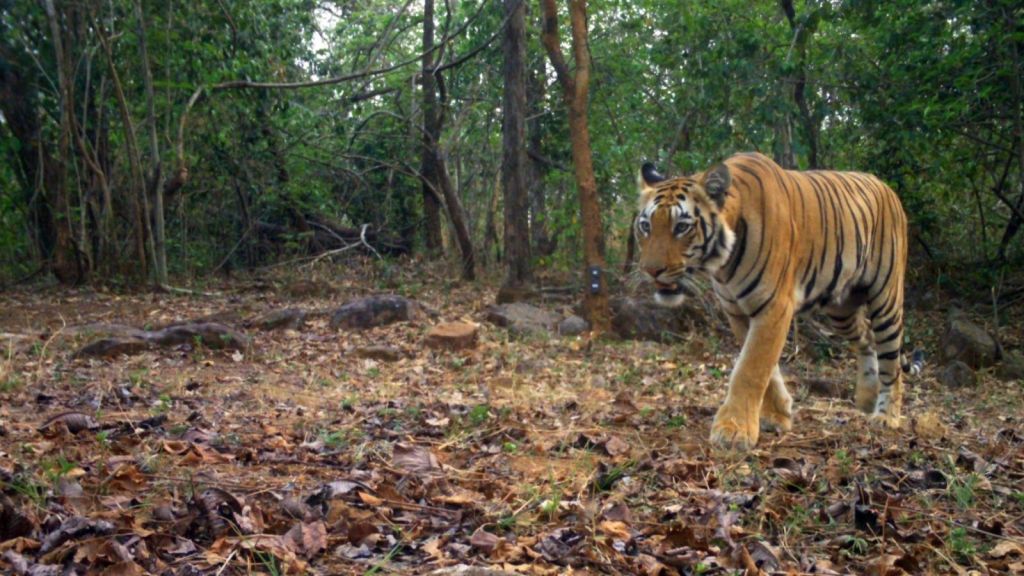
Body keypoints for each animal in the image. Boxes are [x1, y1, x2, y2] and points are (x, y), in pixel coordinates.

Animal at [635, 152, 923, 450]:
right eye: (645, 226)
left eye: (682, 227)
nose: (650, 270)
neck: (723, 264)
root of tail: (886, 187)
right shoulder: (738, 311)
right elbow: (765, 367)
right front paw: (777, 415)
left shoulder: (773, 306)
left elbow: (751, 367)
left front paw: (733, 431)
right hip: (841, 308)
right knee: (866, 338)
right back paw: (867, 397)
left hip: (886, 299)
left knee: (891, 359)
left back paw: (886, 415)